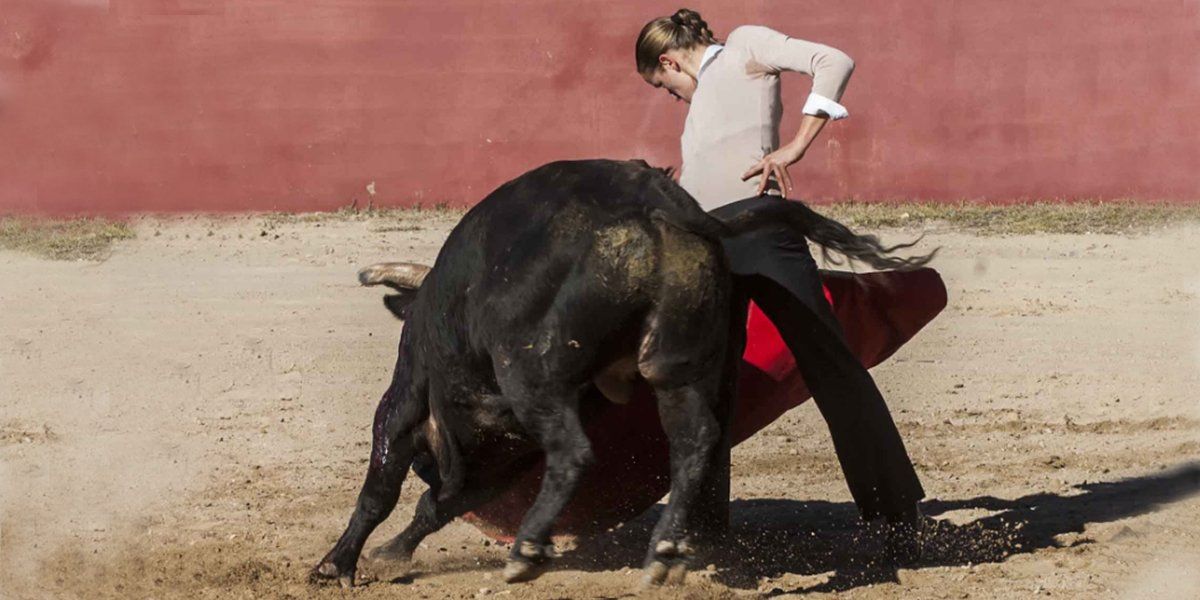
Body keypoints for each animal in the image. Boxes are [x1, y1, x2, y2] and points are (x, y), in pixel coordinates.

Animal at [312, 159, 931, 589]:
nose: (430, 462)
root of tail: (664, 209)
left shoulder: (408, 401)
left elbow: (382, 487)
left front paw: (337, 564)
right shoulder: (495, 459)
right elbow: (436, 502)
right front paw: (389, 555)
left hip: (530, 370)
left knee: (574, 452)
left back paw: (528, 551)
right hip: (675, 365)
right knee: (695, 441)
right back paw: (663, 554)